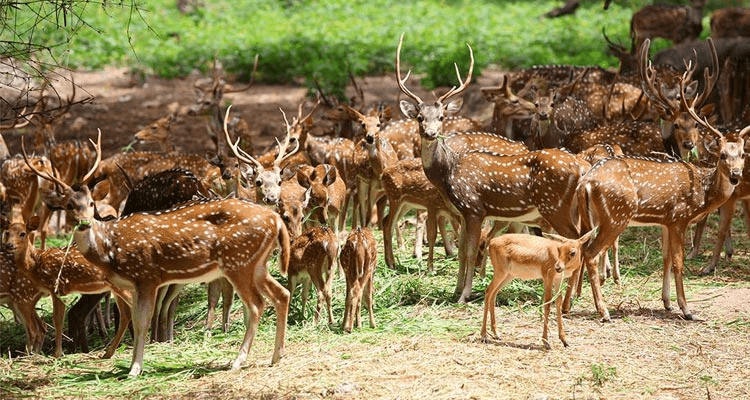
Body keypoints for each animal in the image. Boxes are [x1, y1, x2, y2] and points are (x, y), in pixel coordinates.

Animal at [24, 131, 291, 377]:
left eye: (91, 203)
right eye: (69, 205)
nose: (83, 223)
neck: (110, 248)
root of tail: (276, 220)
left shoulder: (147, 277)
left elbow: (142, 321)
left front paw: (135, 369)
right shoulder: (133, 284)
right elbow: (135, 318)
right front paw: (134, 362)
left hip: (238, 262)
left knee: (257, 304)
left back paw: (237, 361)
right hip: (256, 264)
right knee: (282, 294)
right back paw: (276, 356)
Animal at [395, 34, 608, 319]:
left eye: (441, 117)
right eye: (420, 117)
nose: (430, 133)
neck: (449, 172)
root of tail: (582, 167)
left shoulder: (474, 208)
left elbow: (471, 251)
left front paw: (464, 295)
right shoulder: (463, 211)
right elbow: (461, 251)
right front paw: (455, 290)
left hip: (555, 205)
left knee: (579, 242)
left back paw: (576, 304)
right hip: (572, 208)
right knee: (584, 239)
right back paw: (576, 298)